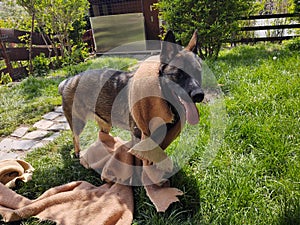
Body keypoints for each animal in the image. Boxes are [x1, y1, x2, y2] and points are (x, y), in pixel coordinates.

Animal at [58, 30, 204, 156]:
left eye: (198, 72)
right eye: (178, 75)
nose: (199, 95)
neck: (162, 97)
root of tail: (68, 80)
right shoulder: (139, 136)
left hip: (105, 124)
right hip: (78, 123)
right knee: (75, 136)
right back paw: (78, 152)